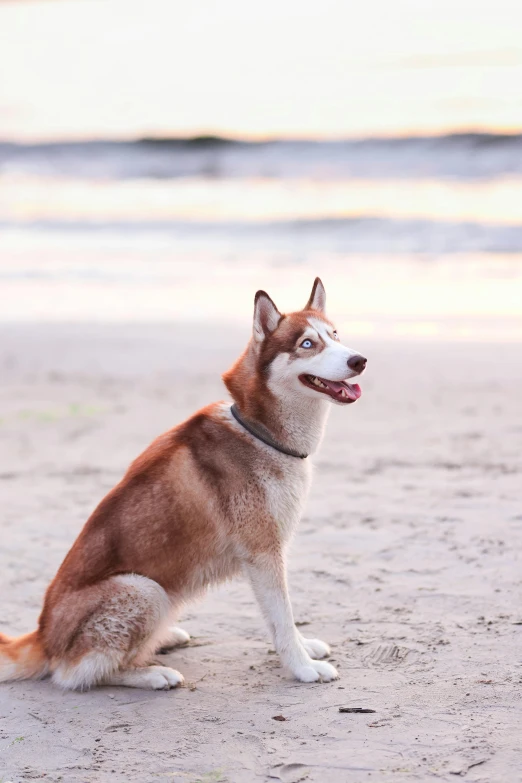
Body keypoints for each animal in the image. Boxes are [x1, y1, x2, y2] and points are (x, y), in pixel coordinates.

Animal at [0, 278, 366, 692]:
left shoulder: (271, 553)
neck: (259, 431)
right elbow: (282, 619)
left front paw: (305, 648)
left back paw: (165, 638)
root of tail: (42, 636)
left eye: (334, 336)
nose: (359, 360)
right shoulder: (262, 553)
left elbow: (284, 617)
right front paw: (302, 666)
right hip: (143, 589)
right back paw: (151, 673)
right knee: (75, 673)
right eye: (307, 343)